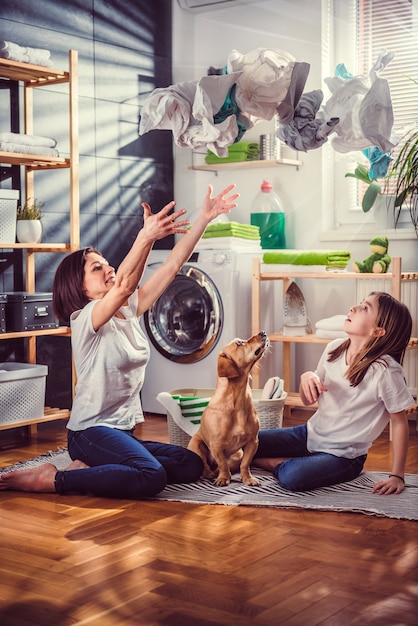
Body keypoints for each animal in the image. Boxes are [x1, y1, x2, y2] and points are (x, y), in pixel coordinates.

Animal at [187, 330, 268, 486]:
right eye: (239, 343)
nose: (263, 332)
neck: (238, 401)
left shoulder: (253, 442)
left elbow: (245, 464)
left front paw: (247, 478)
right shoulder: (216, 445)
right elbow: (223, 464)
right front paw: (223, 479)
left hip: (238, 454)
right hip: (196, 443)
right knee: (206, 465)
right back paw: (209, 474)